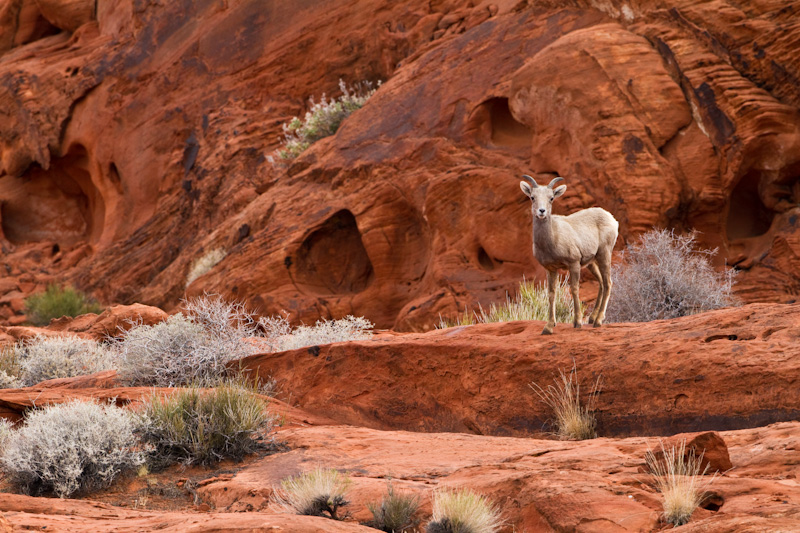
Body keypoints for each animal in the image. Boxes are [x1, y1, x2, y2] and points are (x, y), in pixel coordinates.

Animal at [520, 175, 620, 332]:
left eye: (551, 198)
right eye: (532, 197)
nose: (542, 211)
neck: (552, 238)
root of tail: (612, 219)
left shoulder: (574, 264)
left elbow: (574, 289)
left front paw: (577, 322)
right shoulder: (551, 269)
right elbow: (551, 293)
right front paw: (549, 327)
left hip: (604, 255)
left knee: (608, 283)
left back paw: (598, 321)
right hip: (591, 263)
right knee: (601, 283)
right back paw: (592, 318)